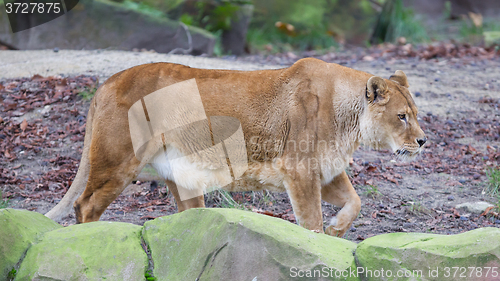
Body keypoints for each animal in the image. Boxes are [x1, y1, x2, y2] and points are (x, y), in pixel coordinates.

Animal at [45, 57, 424, 236]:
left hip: (181, 177)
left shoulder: (326, 171)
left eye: (416, 114)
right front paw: (321, 239)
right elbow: (311, 219)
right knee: (85, 205)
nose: (423, 140)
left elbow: (355, 202)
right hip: (118, 162)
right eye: (402, 116)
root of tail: (107, 82)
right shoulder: (299, 168)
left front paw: (336, 229)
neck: (349, 120)